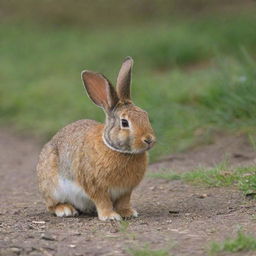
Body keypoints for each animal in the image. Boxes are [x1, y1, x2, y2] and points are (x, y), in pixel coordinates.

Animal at [36, 57, 156, 221]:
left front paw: (128, 213)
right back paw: (65, 210)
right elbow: (102, 201)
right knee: (51, 205)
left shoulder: (126, 191)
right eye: (124, 123)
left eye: (145, 115)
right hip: (52, 186)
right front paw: (110, 216)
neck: (119, 151)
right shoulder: (95, 186)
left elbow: (124, 202)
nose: (149, 139)